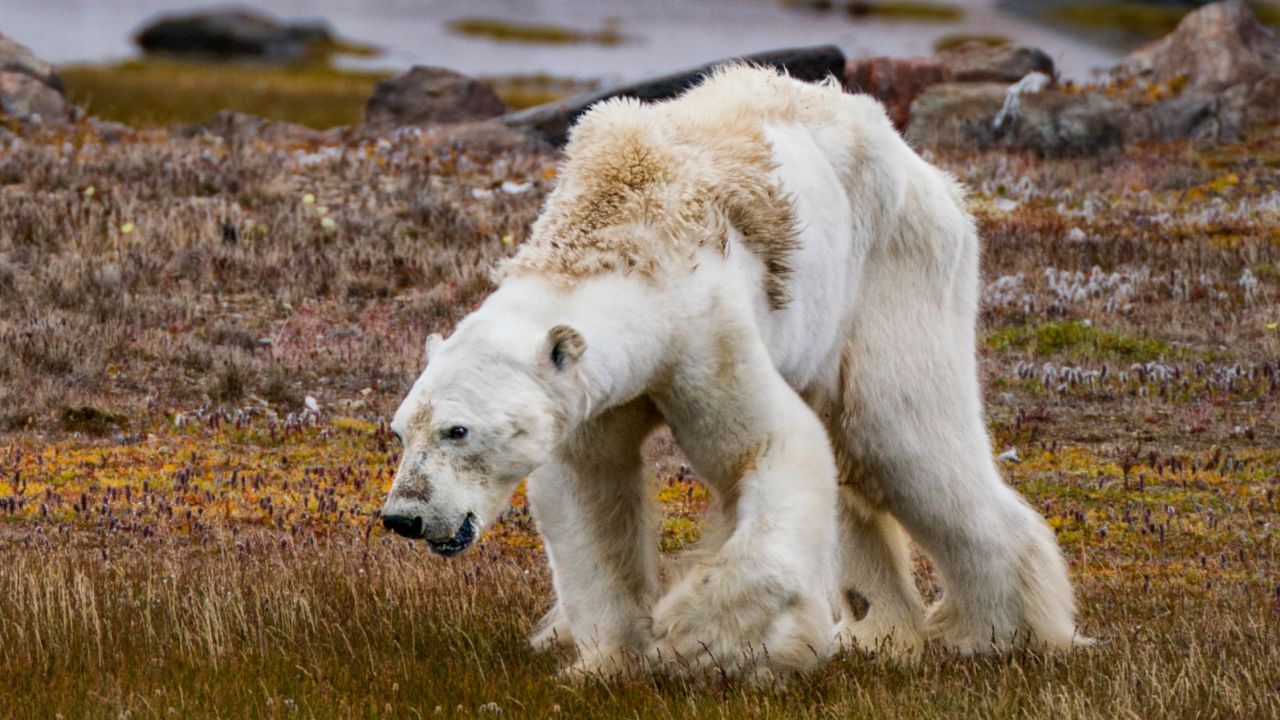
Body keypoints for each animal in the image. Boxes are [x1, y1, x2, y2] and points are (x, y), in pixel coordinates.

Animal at [376, 64, 1080, 676]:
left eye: (458, 430)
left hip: (893, 271)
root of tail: (931, 174)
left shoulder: (703, 332)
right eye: (402, 431)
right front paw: (607, 661)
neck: (620, 231)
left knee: (902, 437)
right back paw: (880, 630)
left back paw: (998, 632)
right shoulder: (591, 393)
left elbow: (770, 448)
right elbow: (588, 491)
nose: (404, 516)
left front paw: (696, 636)